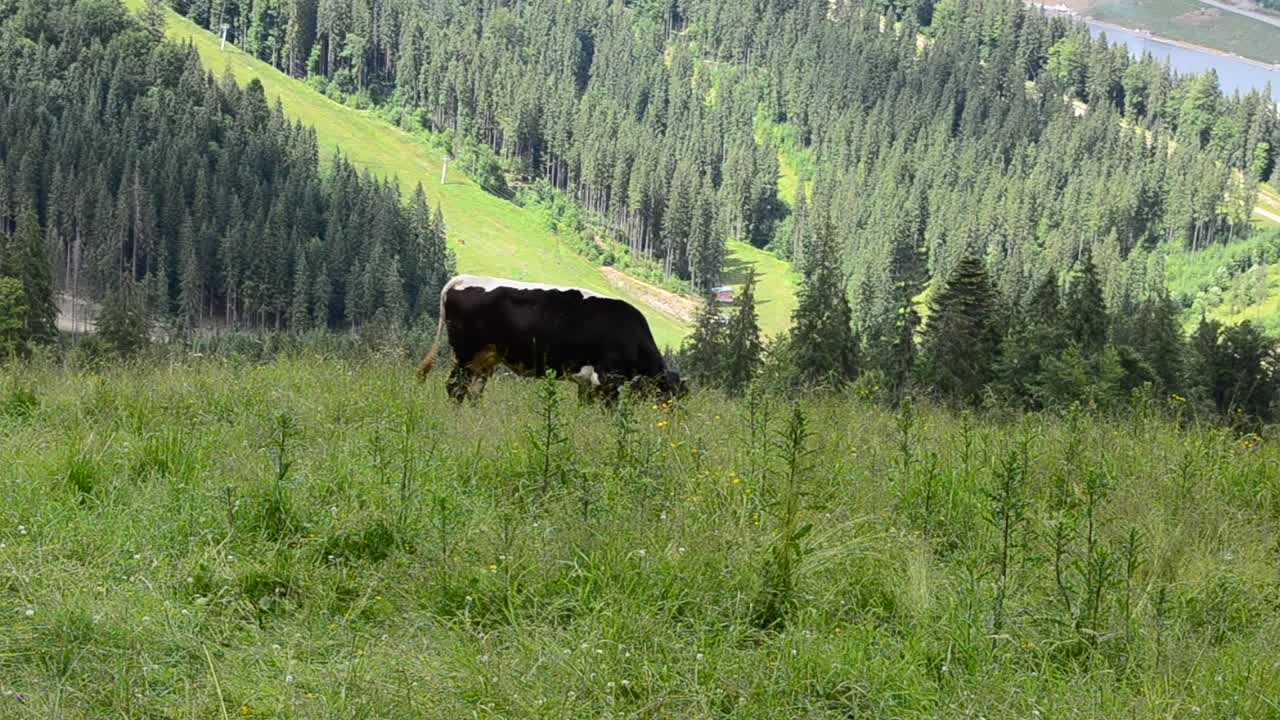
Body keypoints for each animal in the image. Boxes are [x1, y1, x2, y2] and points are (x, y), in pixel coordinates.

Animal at [416, 274, 687, 405]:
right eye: (669, 396)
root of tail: (462, 278)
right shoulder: (607, 378)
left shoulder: (587, 383)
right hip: (466, 353)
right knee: (455, 388)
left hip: (485, 358)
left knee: (473, 391)